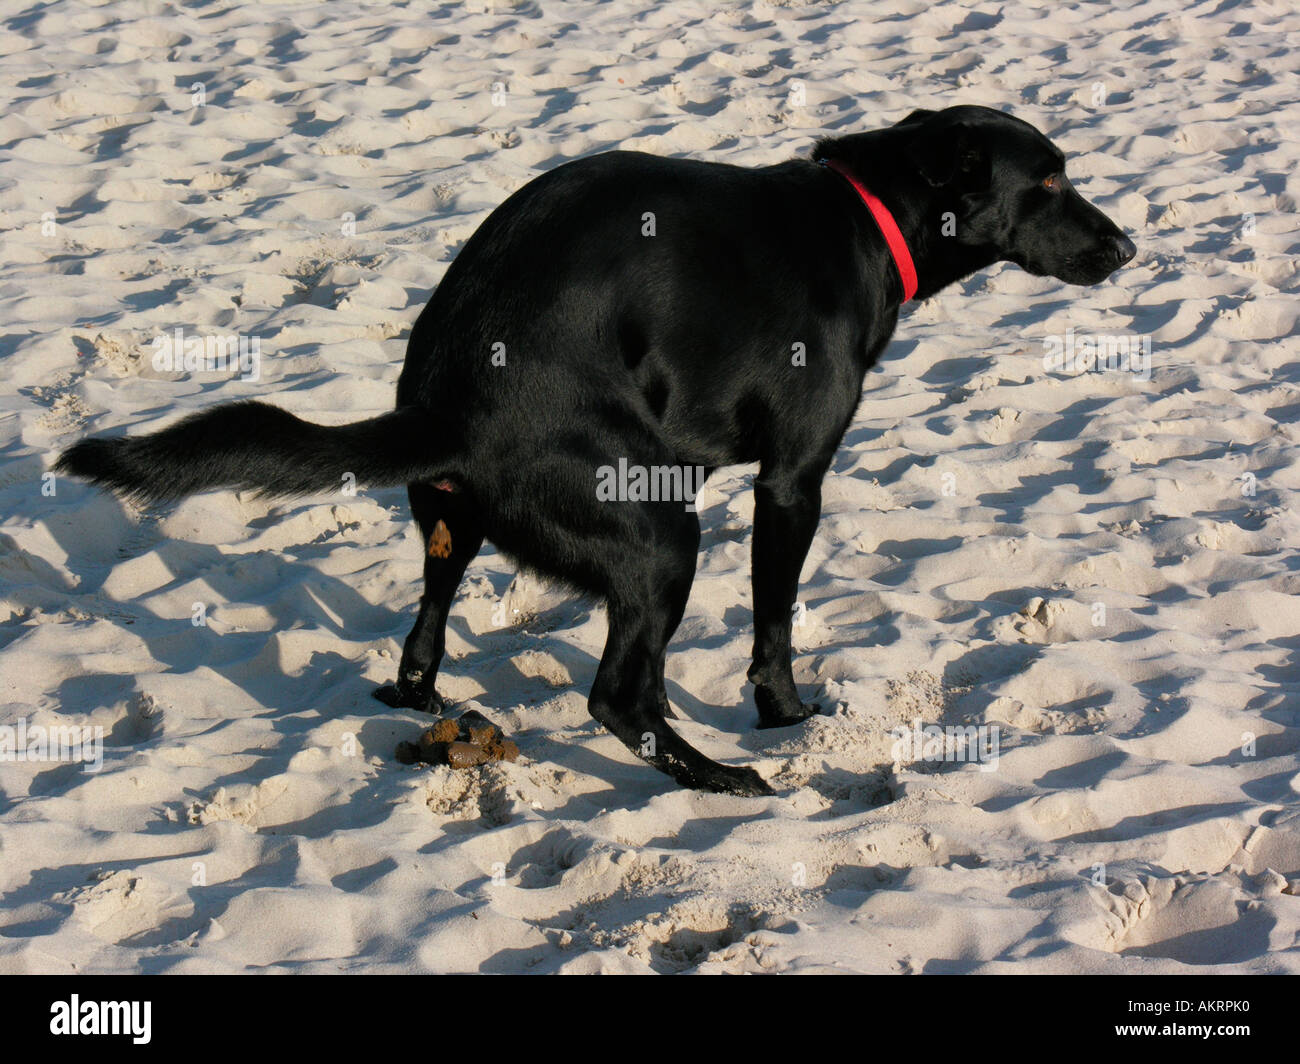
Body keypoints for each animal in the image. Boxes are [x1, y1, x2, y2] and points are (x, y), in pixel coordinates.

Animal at [61, 103, 1133, 796]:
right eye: (1049, 180)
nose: (1125, 249)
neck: (865, 215)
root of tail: (452, 401)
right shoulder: (792, 483)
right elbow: (775, 624)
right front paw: (784, 715)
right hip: (661, 530)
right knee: (615, 696)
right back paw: (717, 776)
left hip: (461, 526)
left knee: (429, 641)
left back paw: (435, 696)